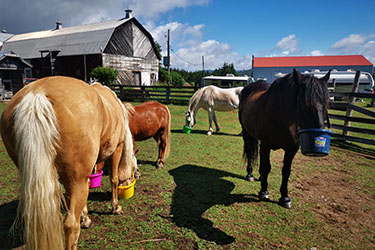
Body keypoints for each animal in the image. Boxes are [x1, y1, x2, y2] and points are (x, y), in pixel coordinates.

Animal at [0, 76, 138, 250]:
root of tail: (36, 94)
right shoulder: (116, 149)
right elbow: (113, 179)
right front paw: (116, 207)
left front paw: (85, 217)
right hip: (75, 179)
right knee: (70, 225)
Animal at [239, 69, 330, 209]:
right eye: (304, 103)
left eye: (326, 103)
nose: (318, 133)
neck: (280, 116)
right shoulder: (266, 145)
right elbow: (267, 167)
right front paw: (264, 192)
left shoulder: (292, 149)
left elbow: (286, 171)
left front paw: (285, 198)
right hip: (247, 133)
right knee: (250, 152)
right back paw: (250, 174)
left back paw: (260, 176)